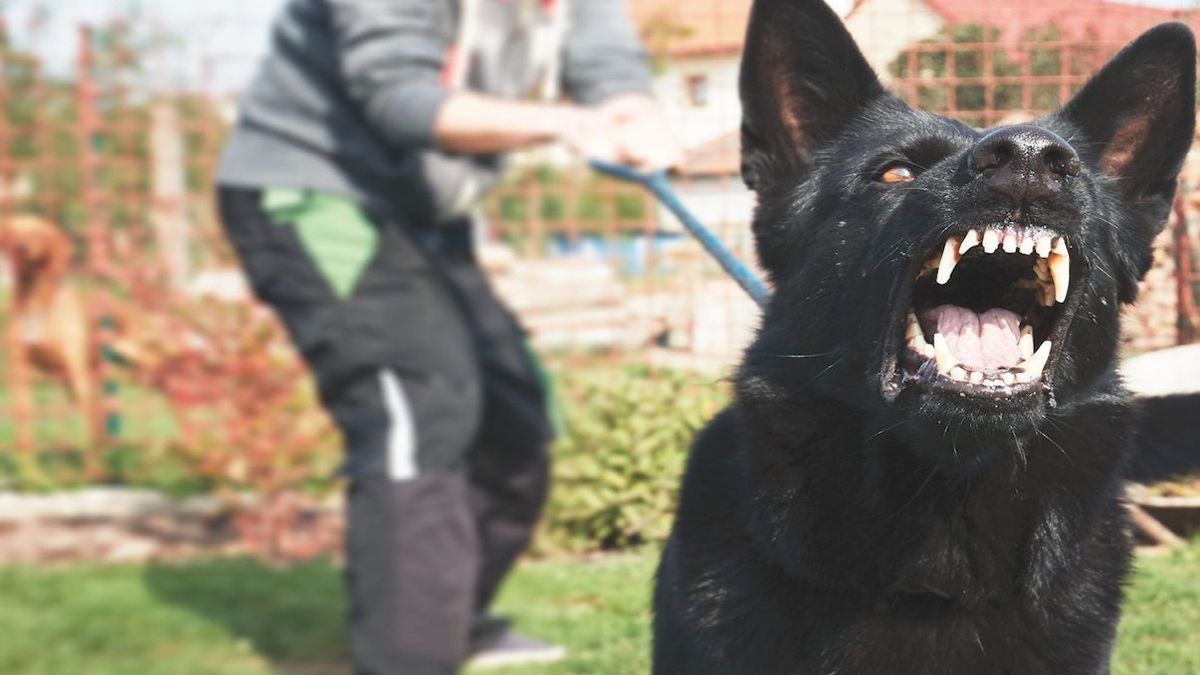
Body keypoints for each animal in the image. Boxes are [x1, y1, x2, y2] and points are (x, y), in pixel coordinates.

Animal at [0, 213, 97, 451]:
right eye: (13, 231)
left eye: (39, 232)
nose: (21, 247)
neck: (35, 303)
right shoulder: (19, 373)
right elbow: (23, 428)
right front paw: (26, 459)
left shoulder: (76, 371)